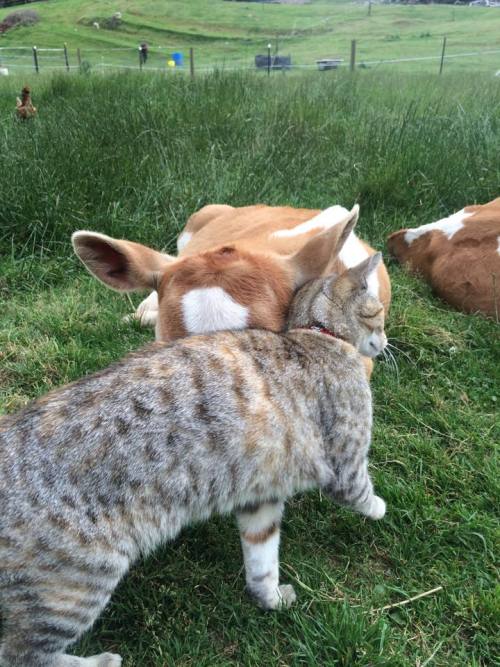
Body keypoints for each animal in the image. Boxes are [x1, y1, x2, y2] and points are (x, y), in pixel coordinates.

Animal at [0, 252, 386, 667]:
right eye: (380, 311)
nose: (385, 342)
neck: (316, 335)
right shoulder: (345, 462)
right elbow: (360, 492)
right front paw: (379, 507)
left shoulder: (260, 497)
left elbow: (261, 559)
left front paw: (269, 597)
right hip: (74, 586)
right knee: (21, 655)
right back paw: (98, 661)